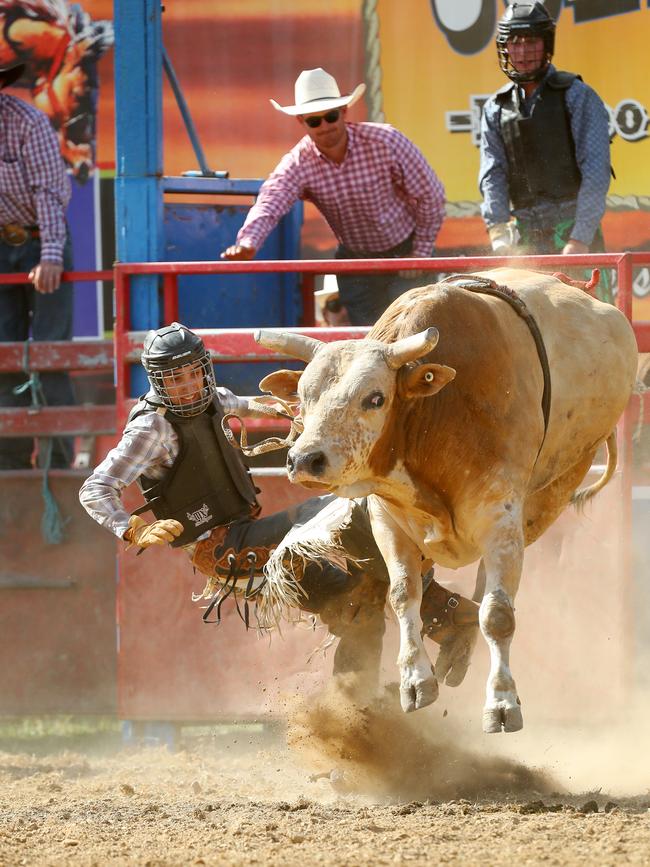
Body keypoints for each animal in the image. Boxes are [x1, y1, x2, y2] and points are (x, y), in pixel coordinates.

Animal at [252, 270, 632, 732]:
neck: (433, 415)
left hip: (554, 494)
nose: (304, 459)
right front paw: (415, 682)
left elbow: (499, 614)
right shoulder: (386, 520)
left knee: (489, 589)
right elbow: (403, 594)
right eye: (303, 398)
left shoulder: (502, 520)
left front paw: (502, 703)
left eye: (375, 398)